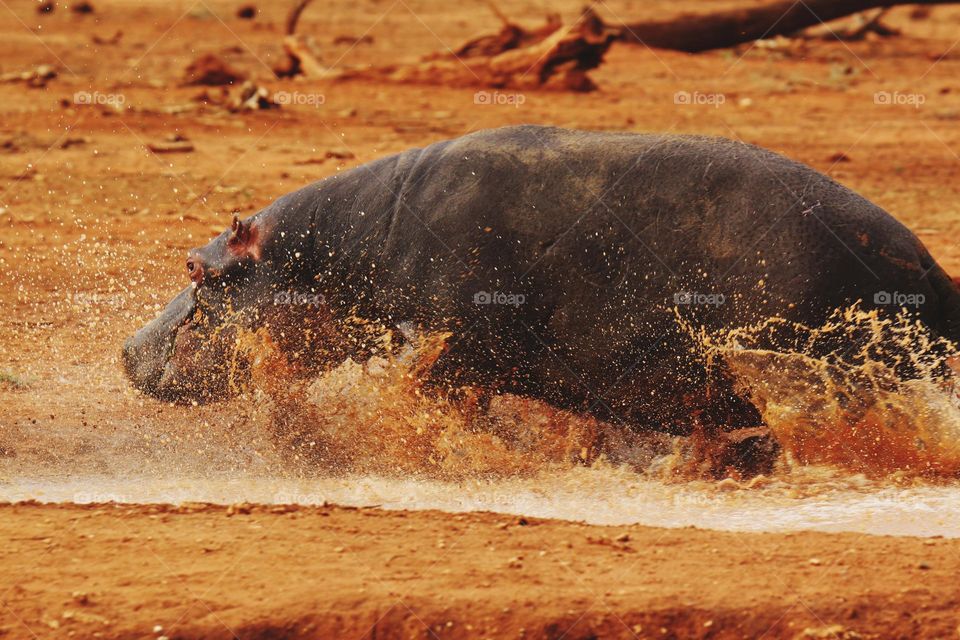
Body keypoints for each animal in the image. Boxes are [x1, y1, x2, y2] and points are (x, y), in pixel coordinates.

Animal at [123, 125, 960, 467]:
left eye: (197, 269)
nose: (127, 349)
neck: (331, 249)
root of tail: (931, 268)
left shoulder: (447, 354)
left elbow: (438, 409)